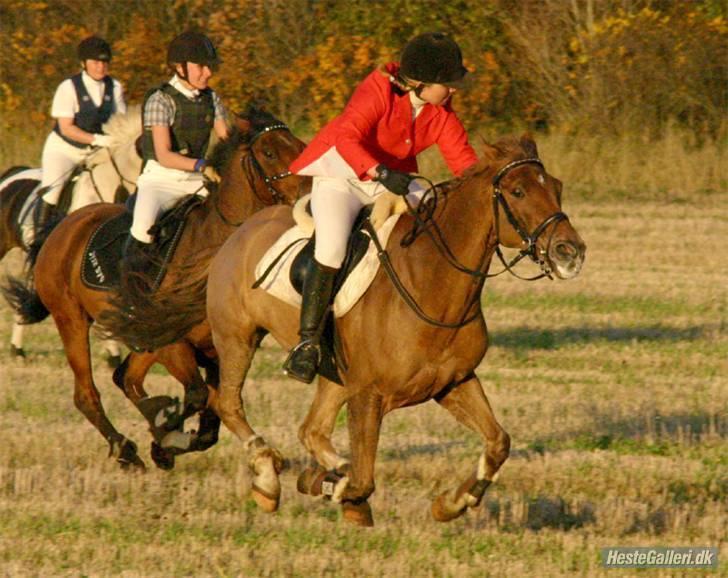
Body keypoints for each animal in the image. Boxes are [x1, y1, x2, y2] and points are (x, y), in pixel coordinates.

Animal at [203, 134, 584, 520]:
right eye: (518, 191)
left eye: (557, 187)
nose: (571, 252)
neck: (431, 283)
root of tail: (246, 226)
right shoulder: (369, 394)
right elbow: (361, 481)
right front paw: (329, 485)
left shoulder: (454, 381)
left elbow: (498, 442)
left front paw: (451, 502)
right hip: (237, 338)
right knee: (229, 403)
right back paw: (267, 476)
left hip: (334, 374)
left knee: (311, 429)